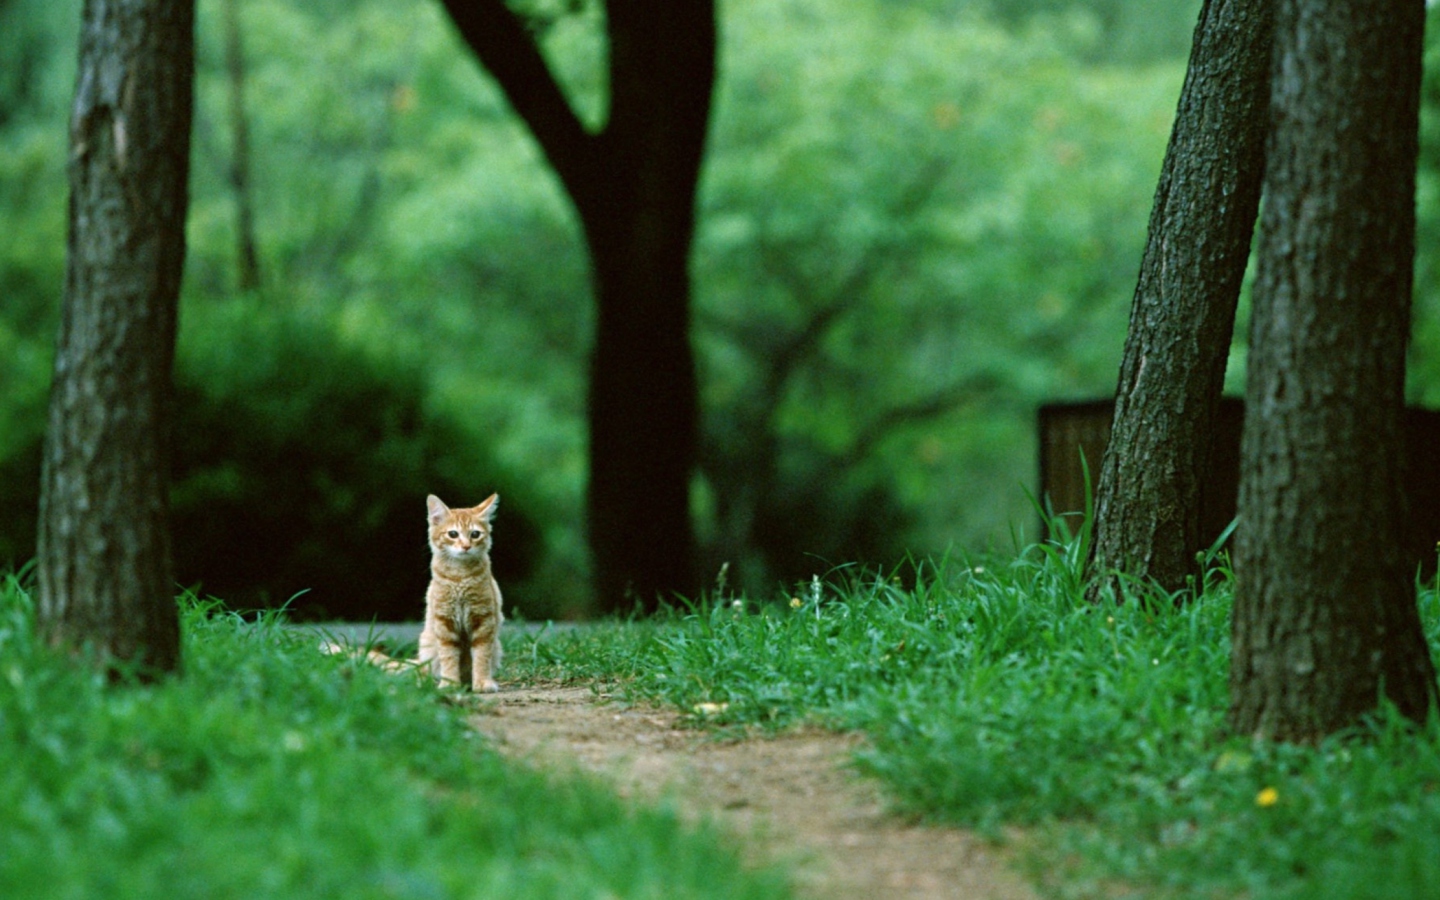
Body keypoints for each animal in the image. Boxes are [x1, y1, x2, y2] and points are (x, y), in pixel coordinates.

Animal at [417, 495, 506, 691]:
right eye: (453, 534)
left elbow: (481, 656)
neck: (460, 577)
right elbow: (448, 657)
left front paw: (482, 682)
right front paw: (450, 683)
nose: (466, 546)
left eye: (475, 534)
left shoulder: (483, 619)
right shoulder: (444, 621)